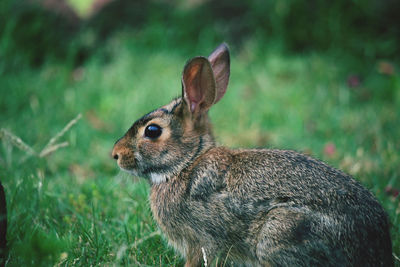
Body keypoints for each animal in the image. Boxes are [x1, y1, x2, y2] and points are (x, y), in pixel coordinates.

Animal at [112, 43, 394, 266]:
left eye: (152, 131)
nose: (115, 154)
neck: (186, 164)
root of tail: (377, 246)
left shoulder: (200, 242)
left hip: (277, 234)